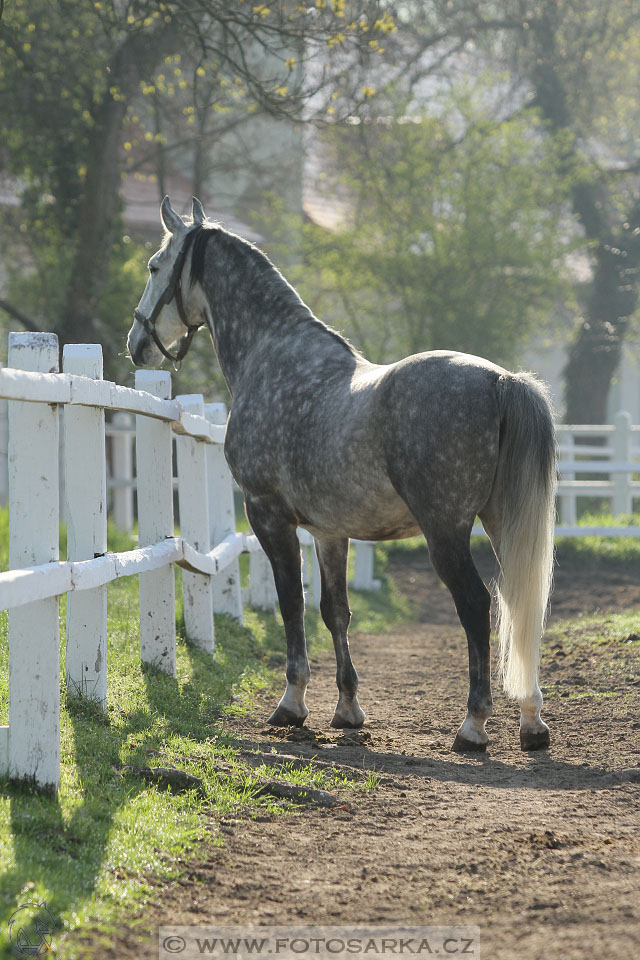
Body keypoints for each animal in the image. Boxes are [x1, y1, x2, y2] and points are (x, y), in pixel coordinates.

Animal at [127, 197, 556, 752]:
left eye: (155, 266)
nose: (137, 342)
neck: (272, 356)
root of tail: (503, 381)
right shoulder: (330, 531)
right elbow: (336, 610)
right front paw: (348, 708)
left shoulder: (268, 515)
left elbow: (292, 603)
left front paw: (292, 704)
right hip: (504, 523)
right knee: (522, 605)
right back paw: (532, 721)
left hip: (446, 531)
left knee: (476, 604)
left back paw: (473, 725)